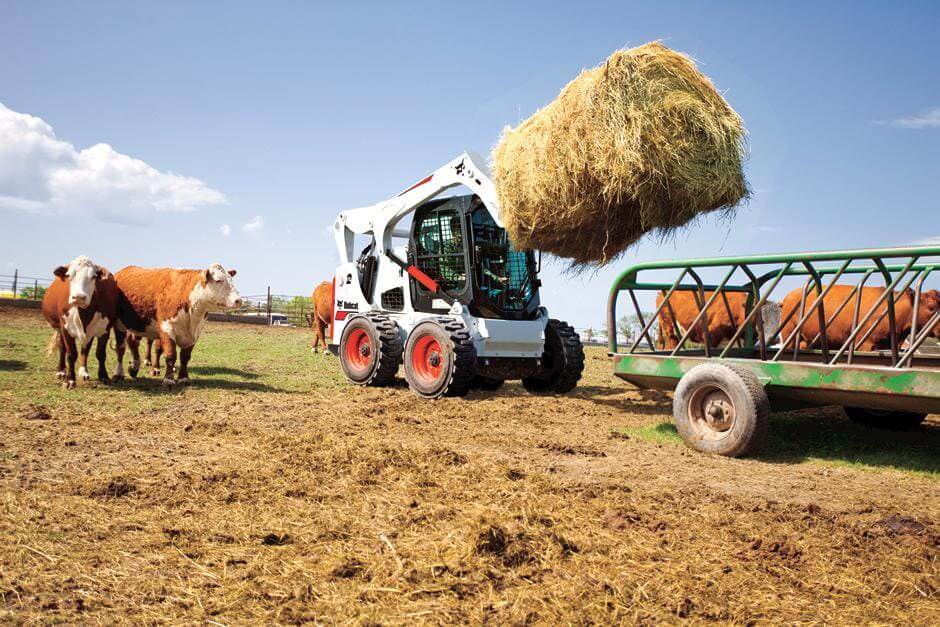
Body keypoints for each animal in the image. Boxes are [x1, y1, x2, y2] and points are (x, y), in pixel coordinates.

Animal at [40, 255, 119, 388]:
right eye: (69, 275)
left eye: (93, 276)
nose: (79, 297)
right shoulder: (66, 328)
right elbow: (71, 354)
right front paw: (70, 380)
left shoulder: (104, 329)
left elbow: (100, 354)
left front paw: (104, 376)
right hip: (60, 329)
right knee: (62, 348)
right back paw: (61, 371)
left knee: (85, 349)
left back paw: (84, 372)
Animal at [113, 262, 241, 388]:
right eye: (219, 280)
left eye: (231, 279)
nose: (238, 300)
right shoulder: (166, 329)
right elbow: (170, 355)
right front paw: (168, 379)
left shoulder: (194, 334)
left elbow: (185, 357)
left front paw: (183, 378)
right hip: (119, 324)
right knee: (121, 348)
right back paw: (119, 374)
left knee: (133, 342)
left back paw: (133, 368)